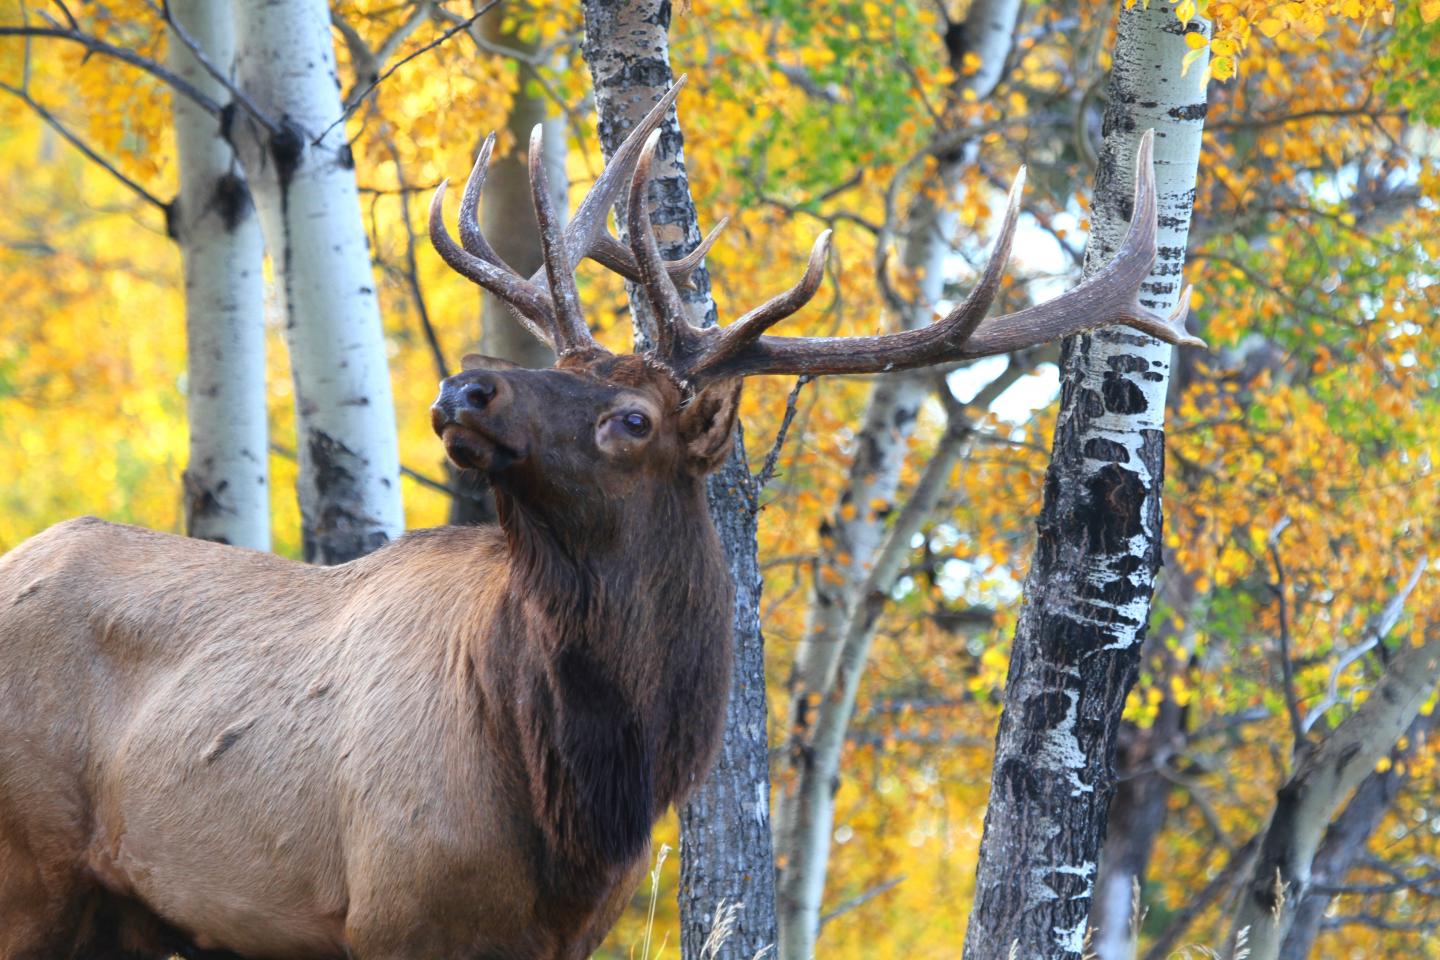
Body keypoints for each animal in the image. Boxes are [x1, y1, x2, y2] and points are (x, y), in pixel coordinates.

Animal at [0, 77, 1192, 960]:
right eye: (563, 368)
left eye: (631, 416)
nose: (465, 388)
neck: (580, 806)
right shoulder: (391, 913)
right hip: (31, 872)